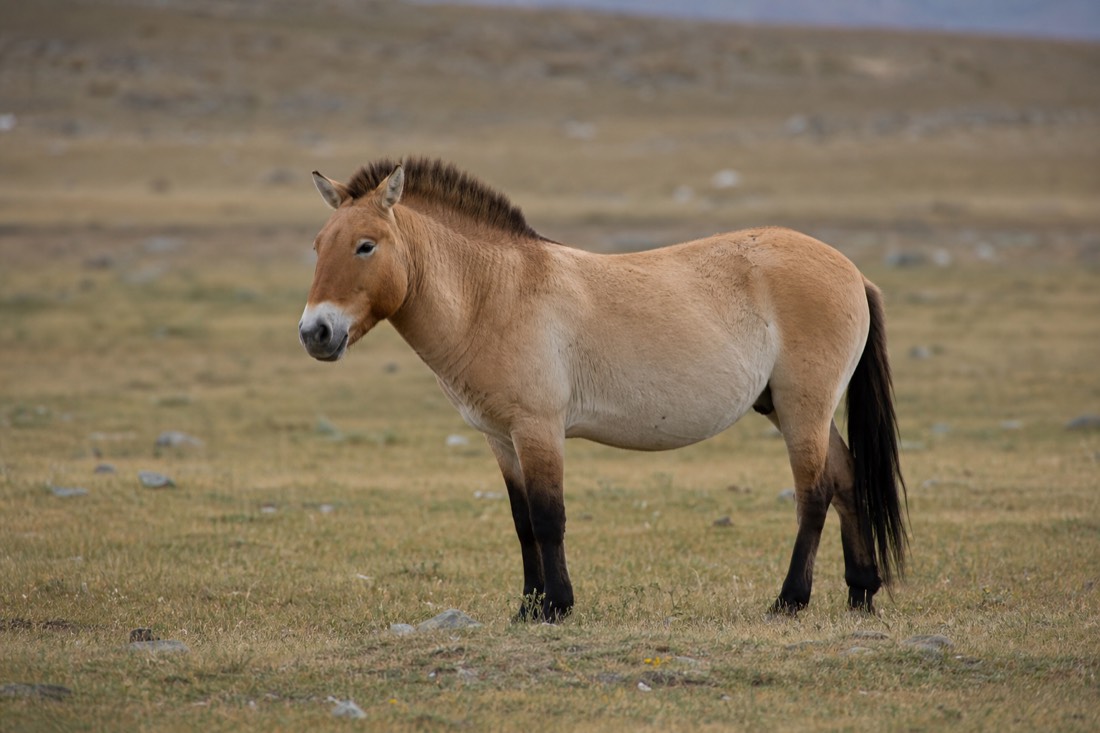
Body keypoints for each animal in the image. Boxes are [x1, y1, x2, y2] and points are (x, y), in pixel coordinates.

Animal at [298, 157, 908, 621]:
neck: (494, 292)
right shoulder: (501, 438)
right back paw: (861, 592)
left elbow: (549, 518)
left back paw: (790, 601)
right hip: (791, 408)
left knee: (815, 493)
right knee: (848, 480)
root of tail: (852, 271)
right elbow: (523, 523)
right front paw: (528, 606)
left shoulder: (539, 429)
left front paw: (556, 606)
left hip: (804, 408)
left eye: (366, 246)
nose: (315, 332)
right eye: (318, 244)